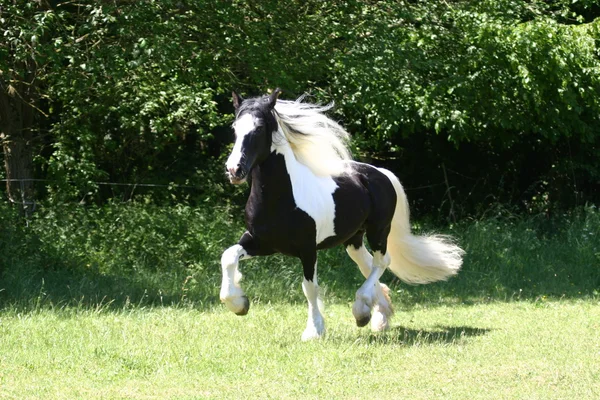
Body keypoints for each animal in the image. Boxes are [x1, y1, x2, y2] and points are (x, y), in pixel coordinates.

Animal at [220, 88, 464, 340]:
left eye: (259, 128)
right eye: (235, 128)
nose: (234, 170)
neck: (280, 199)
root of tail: (380, 172)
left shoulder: (307, 249)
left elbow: (309, 288)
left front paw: (314, 330)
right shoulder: (260, 242)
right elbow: (228, 256)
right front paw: (239, 304)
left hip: (379, 231)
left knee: (382, 261)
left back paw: (362, 312)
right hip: (353, 239)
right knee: (369, 265)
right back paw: (379, 317)